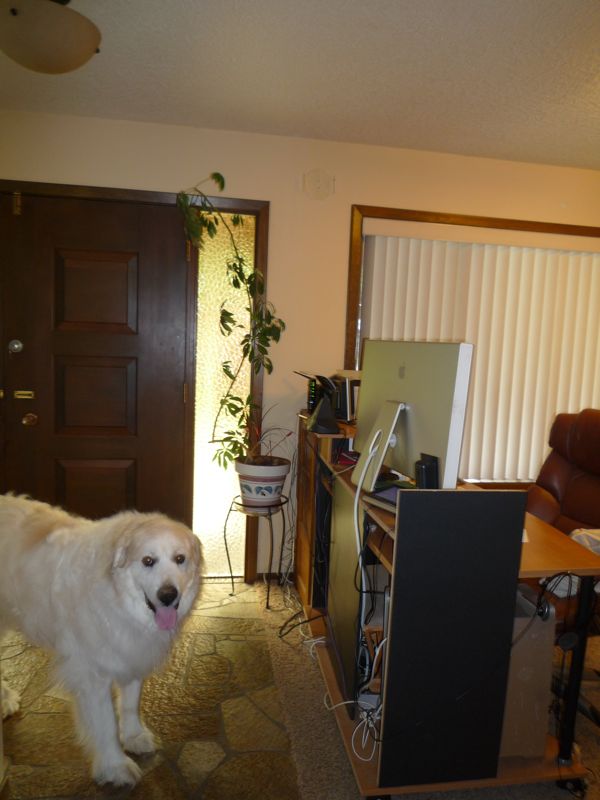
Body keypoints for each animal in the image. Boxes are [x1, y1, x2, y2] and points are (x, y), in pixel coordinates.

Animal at [0, 494, 202, 786]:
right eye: (148, 561)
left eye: (180, 559)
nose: (168, 595)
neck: (114, 596)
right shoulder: (93, 675)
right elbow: (106, 724)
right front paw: (115, 766)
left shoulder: (130, 654)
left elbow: (130, 705)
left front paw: (134, 737)